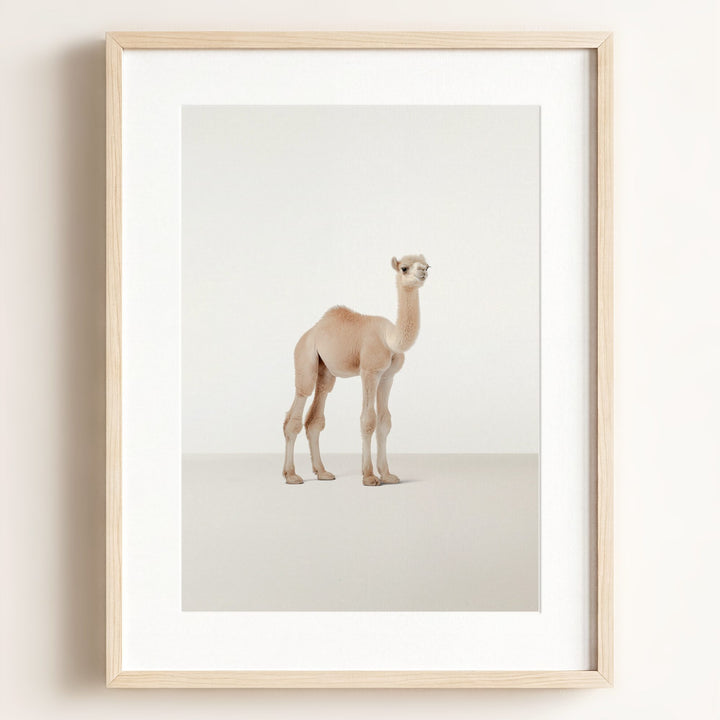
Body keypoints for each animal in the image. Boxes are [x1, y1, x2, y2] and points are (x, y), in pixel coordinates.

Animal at [282, 254, 430, 486]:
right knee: (297, 406)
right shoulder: (369, 371)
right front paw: (369, 476)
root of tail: (310, 332)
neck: (390, 338)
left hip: (326, 371)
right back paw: (291, 475)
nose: (423, 271)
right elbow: (368, 419)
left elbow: (384, 421)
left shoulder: (387, 376)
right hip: (304, 357)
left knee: (316, 415)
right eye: (404, 268)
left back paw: (323, 472)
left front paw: (387, 474)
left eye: (428, 265)